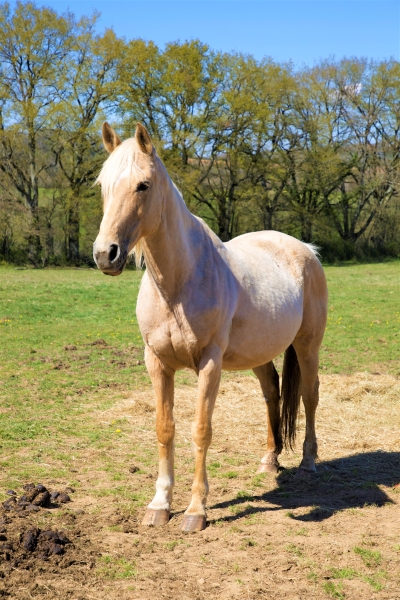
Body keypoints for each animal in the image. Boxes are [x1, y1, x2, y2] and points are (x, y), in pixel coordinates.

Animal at [93, 122, 328, 533]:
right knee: (272, 393)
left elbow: (201, 431)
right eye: (103, 185)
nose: (105, 254)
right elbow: (164, 428)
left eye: (143, 185)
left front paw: (195, 511)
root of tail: (306, 250)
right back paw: (270, 460)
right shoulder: (156, 363)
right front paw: (159, 504)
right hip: (259, 354)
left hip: (307, 346)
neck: (178, 284)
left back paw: (308, 462)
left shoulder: (209, 364)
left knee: (309, 396)